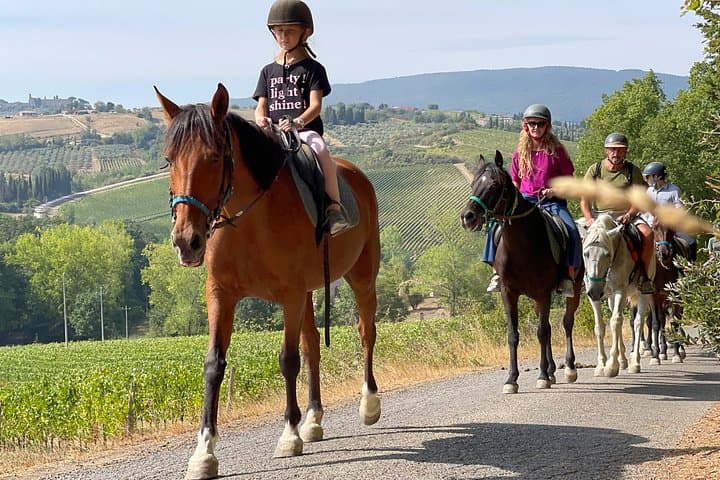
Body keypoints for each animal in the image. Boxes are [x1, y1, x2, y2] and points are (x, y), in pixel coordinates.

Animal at [155, 84, 381, 480]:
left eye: (213, 158)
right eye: (170, 160)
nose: (186, 241)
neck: (248, 220)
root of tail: (357, 176)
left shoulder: (290, 295)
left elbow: (288, 360)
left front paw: (289, 436)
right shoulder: (221, 295)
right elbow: (214, 365)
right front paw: (203, 453)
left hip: (361, 276)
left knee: (365, 331)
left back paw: (368, 404)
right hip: (310, 291)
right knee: (313, 346)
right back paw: (313, 419)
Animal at [460, 150, 583, 394]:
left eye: (494, 184)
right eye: (473, 183)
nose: (467, 217)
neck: (522, 245)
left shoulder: (543, 293)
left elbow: (542, 332)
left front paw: (542, 376)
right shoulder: (509, 293)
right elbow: (514, 334)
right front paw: (511, 379)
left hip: (573, 288)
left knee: (566, 322)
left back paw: (568, 368)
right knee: (548, 328)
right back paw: (552, 370)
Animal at [582, 213, 654, 377]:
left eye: (607, 254)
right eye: (586, 254)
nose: (595, 291)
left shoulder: (620, 291)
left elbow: (615, 322)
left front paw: (611, 366)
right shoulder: (594, 297)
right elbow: (600, 326)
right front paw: (601, 365)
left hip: (642, 292)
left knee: (638, 322)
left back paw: (635, 363)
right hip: (610, 298)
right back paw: (623, 361)